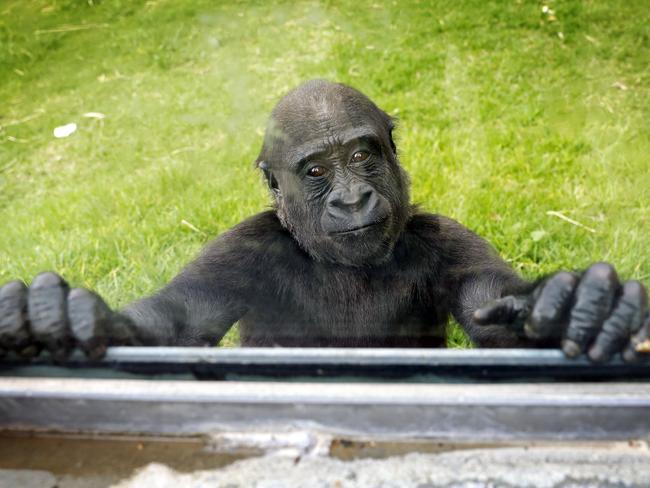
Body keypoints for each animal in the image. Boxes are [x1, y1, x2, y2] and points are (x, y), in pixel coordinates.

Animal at [1, 79, 648, 362]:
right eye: (315, 171)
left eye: (362, 156)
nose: (352, 200)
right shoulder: (238, 252)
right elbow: (177, 319)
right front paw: (61, 316)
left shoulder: (450, 245)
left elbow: (497, 314)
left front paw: (577, 307)